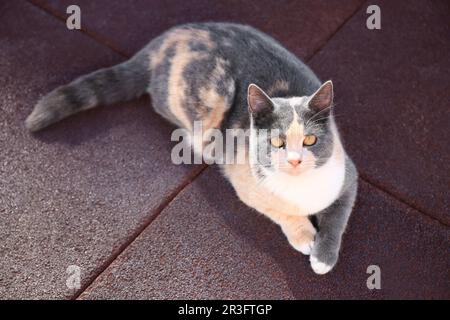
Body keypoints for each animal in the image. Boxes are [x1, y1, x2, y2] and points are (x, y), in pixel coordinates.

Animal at [27, 22, 358, 274]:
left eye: (310, 140)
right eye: (276, 141)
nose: (294, 161)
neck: (302, 190)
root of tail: (168, 36)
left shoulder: (348, 176)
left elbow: (337, 219)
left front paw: (323, 257)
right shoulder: (245, 180)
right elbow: (278, 210)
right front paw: (305, 237)